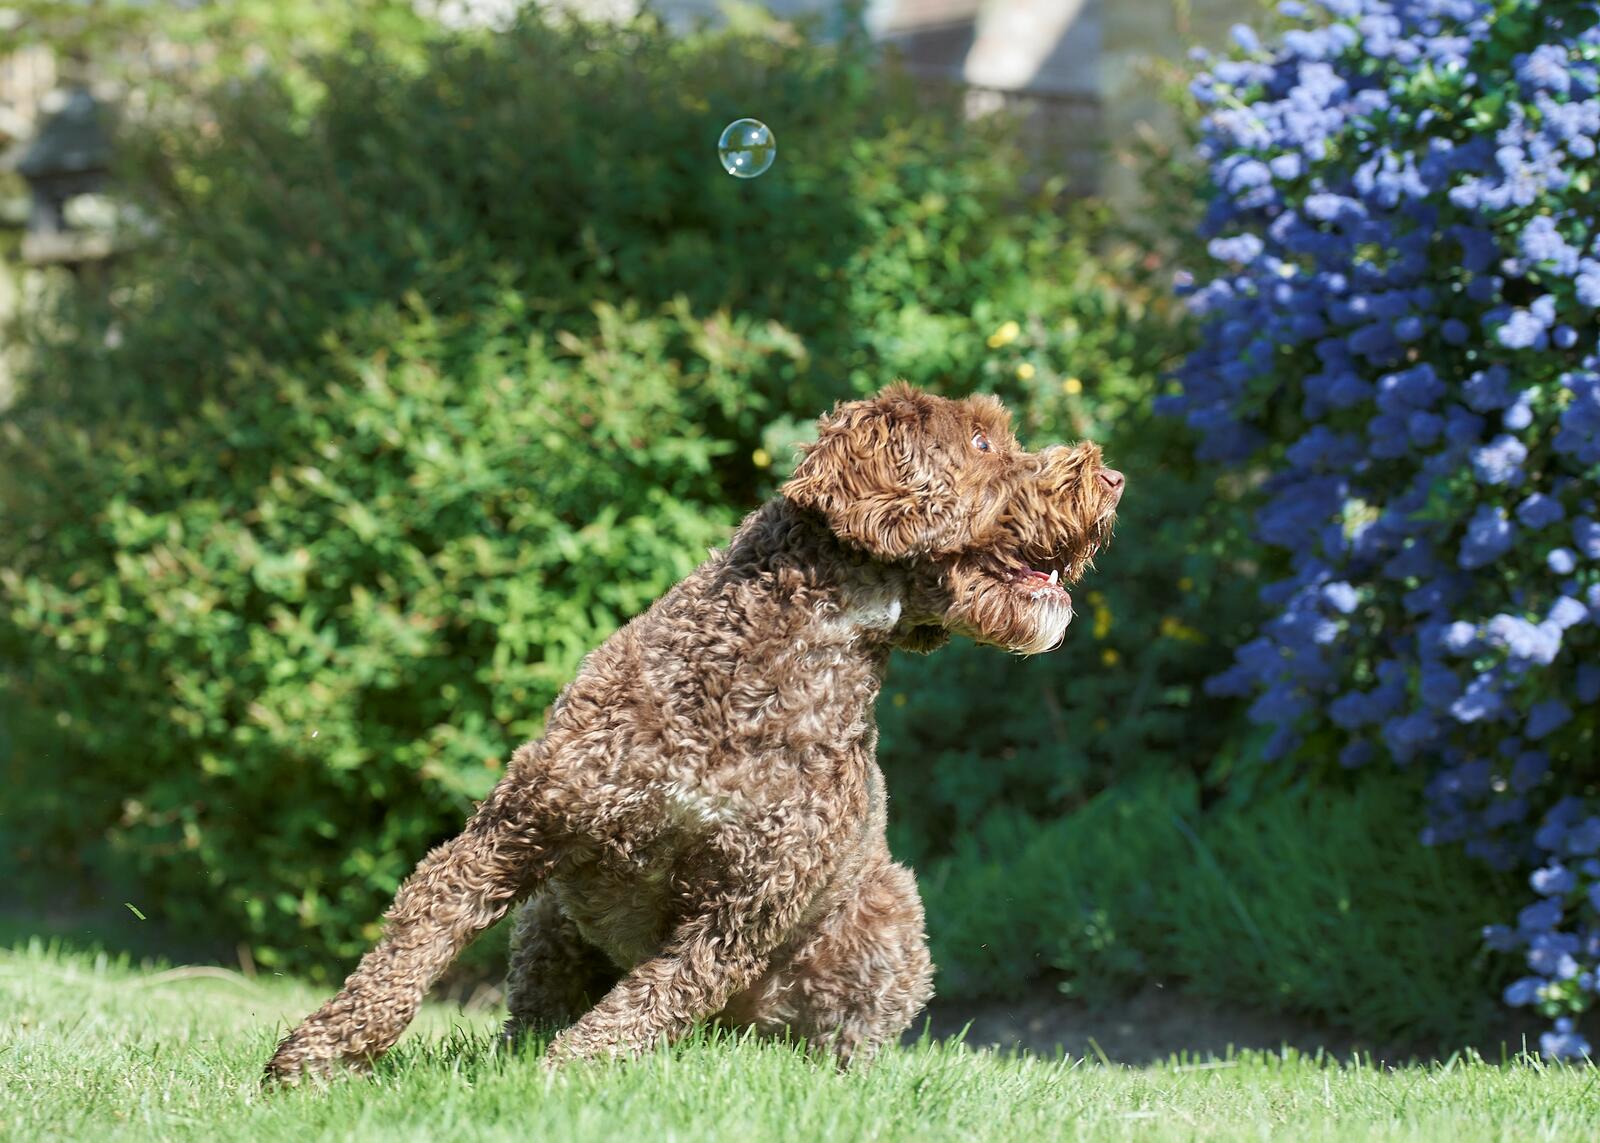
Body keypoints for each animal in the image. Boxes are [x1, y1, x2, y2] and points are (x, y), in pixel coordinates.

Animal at [265, 381, 1126, 1075]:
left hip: (890, 922)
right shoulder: (516, 829)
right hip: (550, 920)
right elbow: (411, 948)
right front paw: (320, 1057)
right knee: (528, 1010)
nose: (1113, 477)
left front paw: (559, 1085)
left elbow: (642, 1006)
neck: (773, 668)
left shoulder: (739, 913)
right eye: (983, 442)